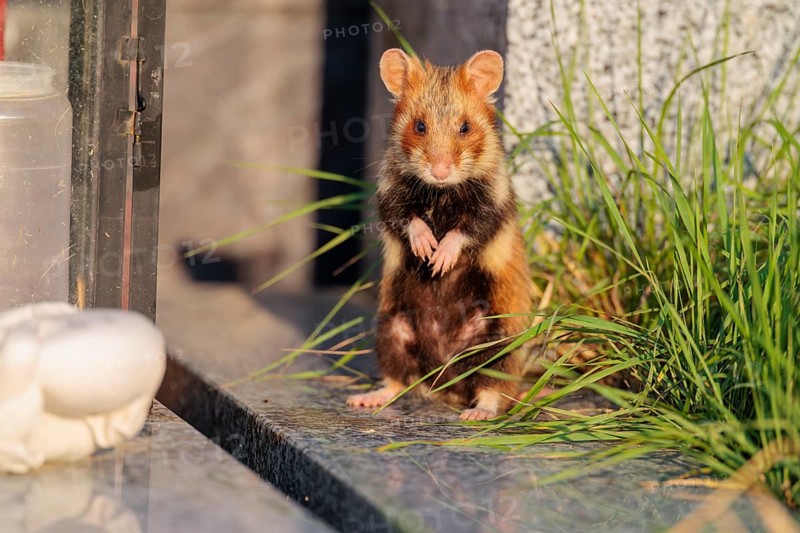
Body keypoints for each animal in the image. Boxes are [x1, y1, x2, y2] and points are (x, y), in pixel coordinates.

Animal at [346, 49, 532, 420]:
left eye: (465, 127)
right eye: (419, 126)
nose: (440, 171)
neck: (441, 193)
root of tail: (445, 384)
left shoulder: (492, 203)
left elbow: (467, 230)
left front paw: (439, 260)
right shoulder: (389, 196)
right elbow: (408, 218)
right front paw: (425, 249)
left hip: (498, 340)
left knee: (492, 388)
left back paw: (476, 414)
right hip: (391, 327)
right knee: (396, 378)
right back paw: (364, 399)